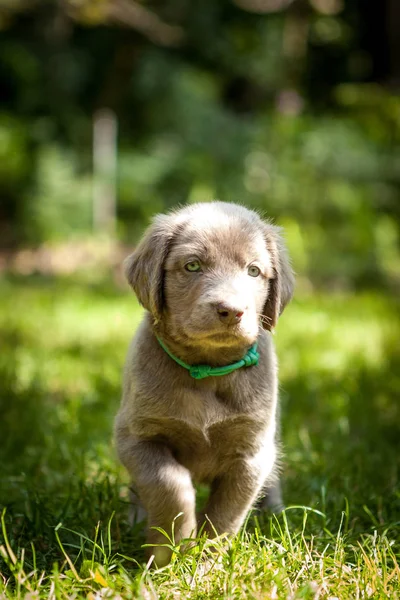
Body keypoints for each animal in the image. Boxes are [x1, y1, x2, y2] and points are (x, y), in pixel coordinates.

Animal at [115, 202, 294, 568]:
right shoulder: (136, 437)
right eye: (193, 265)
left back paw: (275, 517)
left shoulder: (251, 455)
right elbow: (170, 485)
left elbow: (226, 514)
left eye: (254, 271)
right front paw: (169, 551)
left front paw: (207, 561)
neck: (208, 370)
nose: (232, 311)